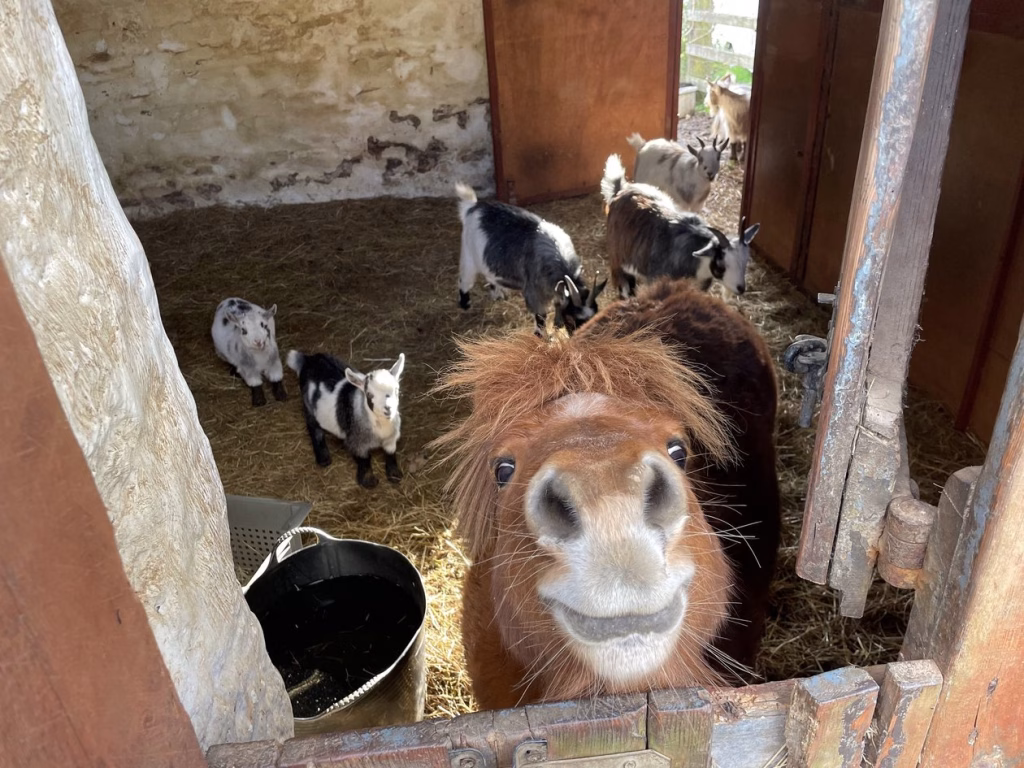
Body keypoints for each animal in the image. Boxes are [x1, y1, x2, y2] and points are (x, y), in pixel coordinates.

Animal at [286, 350, 405, 488]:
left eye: (397, 390)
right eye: (369, 394)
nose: (388, 409)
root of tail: (308, 359)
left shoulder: (390, 439)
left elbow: (391, 454)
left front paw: (395, 475)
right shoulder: (357, 441)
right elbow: (364, 460)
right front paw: (368, 481)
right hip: (308, 406)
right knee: (313, 427)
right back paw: (323, 458)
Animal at [455, 183, 605, 335]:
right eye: (571, 318)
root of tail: (472, 207)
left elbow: (558, 302)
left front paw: (557, 324)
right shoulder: (534, 291)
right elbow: (541, 317)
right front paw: (542, 335)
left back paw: (497, 294)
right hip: (468, 255)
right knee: (465, 281)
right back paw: (465, 304)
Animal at [601, 154, 759, 296]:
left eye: (745, 262)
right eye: (722, 264)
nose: (741, 288)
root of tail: (620, 190)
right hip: (617, 258)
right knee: (624, 284)